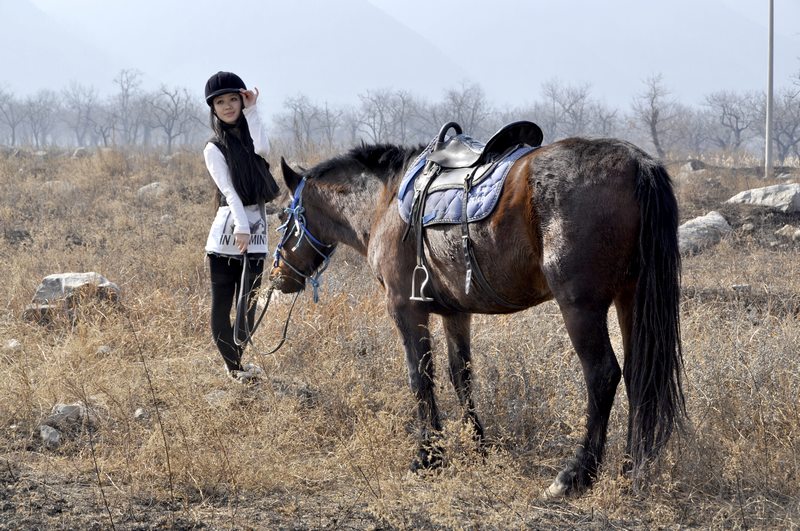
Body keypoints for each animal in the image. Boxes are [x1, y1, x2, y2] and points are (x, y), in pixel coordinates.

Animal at [268, 134, 680, 498]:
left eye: (285, 215)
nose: (278, 275)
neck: (385, 202)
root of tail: (637, 163)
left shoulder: (405, 308)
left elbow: (421, 378)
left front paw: (428, 456)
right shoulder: (455, 313)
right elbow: (460, 376)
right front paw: (477, 446)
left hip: (581, 306)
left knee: (603, 375)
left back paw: (575, 475)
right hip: (631, 298)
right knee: (639, 377)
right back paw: (630, 471)